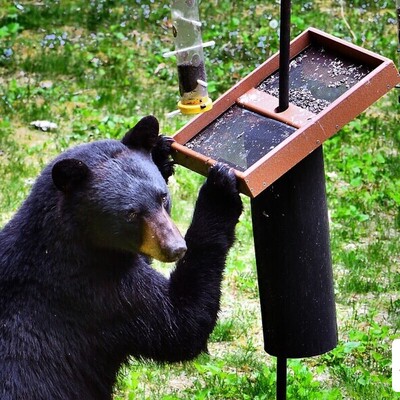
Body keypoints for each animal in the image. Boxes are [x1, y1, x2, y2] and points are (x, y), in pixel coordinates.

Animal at [0, 115, 242, 400]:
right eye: (130, 214)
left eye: (163, 198)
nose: (176, 248)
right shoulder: (99, 294)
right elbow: (181, 324)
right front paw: (220, 189)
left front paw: (160, 149)